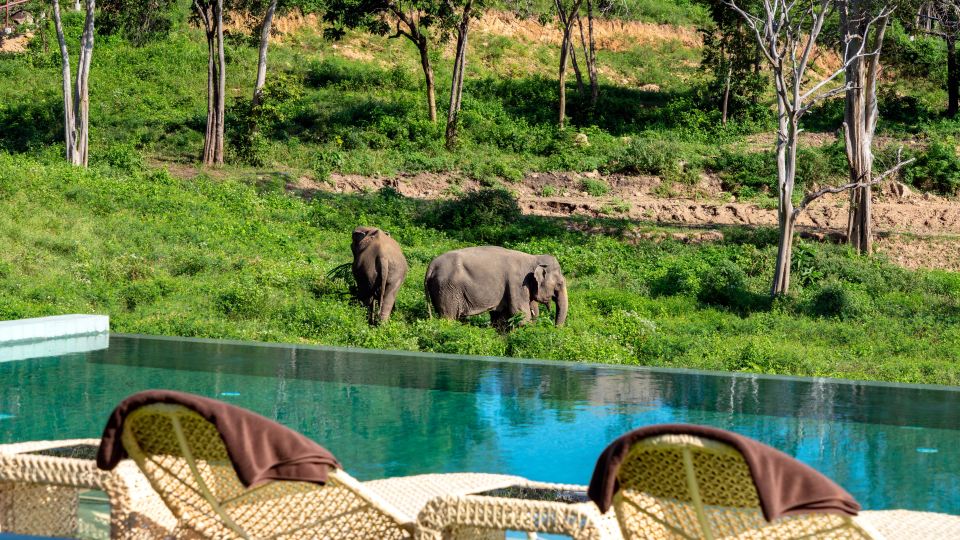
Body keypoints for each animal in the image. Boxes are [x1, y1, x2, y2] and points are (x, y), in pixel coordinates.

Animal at [424, 246, 568, 329]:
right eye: (559, 284)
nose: (555, 329)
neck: (534, 259)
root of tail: (431, 266)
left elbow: (500, 317)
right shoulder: (517, 283)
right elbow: (521, 314)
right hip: (447, 289)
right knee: (448, 317)